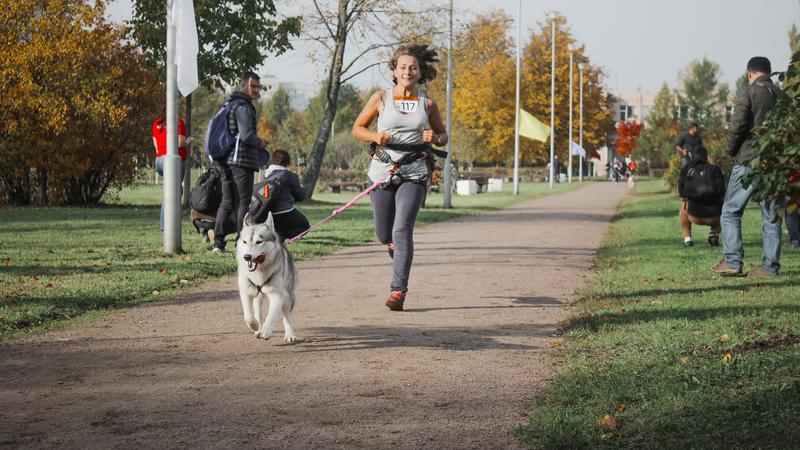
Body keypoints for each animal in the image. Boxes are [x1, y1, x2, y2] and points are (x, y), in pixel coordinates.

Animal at [236, 212, 299, 343]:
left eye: (259, 242)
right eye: (244, 242)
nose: (247, 257)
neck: (259, 272)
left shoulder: (277, 296)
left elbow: (272, 315)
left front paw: (266, 331)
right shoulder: (246, 292)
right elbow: (248, 316)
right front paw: (255, 326)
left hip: (287, 296)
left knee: (287, 316)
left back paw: (289, 334)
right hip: (258, 297)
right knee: (258, 312)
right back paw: (258, 328)